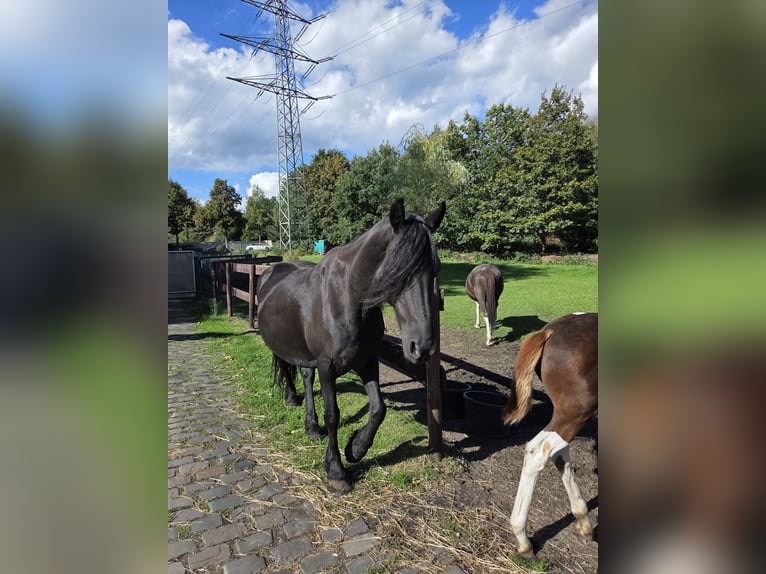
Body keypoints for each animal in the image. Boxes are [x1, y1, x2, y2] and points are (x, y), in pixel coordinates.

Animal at [256, 198, 446, 495]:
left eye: (434, 269)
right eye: (399, 271)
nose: (422, 347)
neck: (348, 299)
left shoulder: (367, 361)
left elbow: (378, 409)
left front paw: (355, 449)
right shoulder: (328, 366)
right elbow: (333, 414)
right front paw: (336, 471)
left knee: (306, 376)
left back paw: (312, 427)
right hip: (282, 345)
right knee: (287, 369)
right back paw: (291, 398)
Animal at [503, 312, 598, 558]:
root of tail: (549, 331)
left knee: (557, 454)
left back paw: (583, 520)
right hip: (575, 413)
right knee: (538, 452)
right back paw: (523, 539)